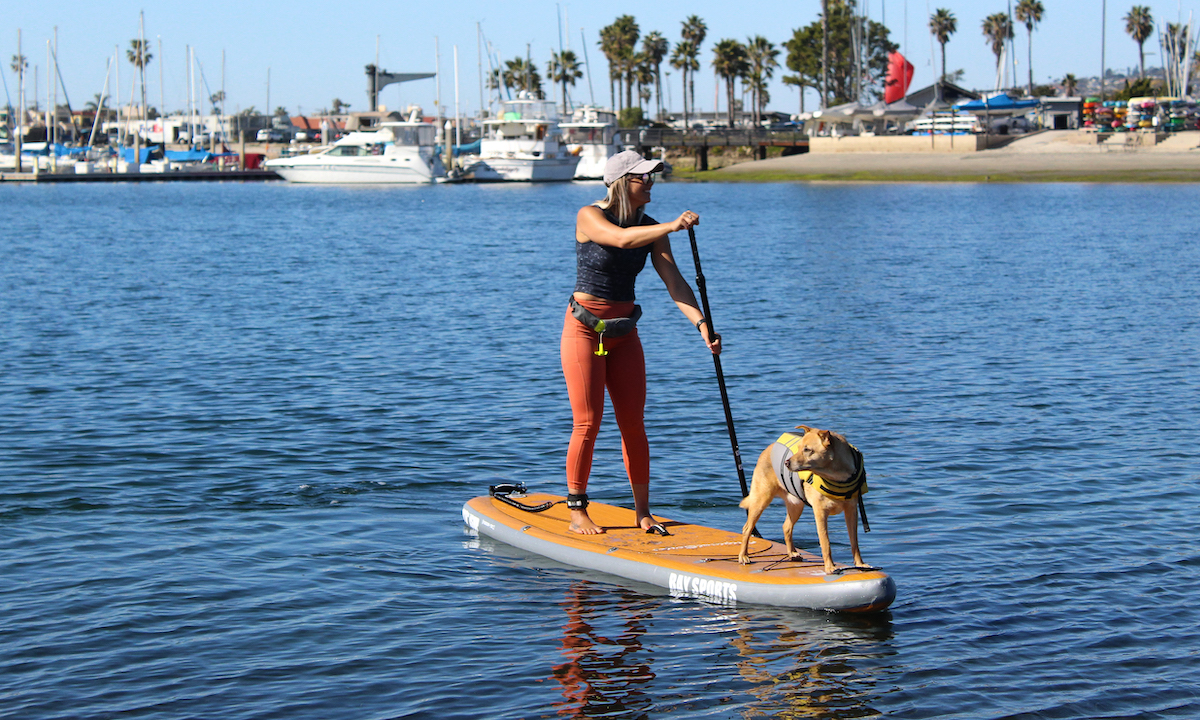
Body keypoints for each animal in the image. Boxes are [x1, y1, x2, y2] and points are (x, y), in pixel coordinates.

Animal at [734, 427, 868, 573]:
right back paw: (743, 556)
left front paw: (860, 564)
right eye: (798, 448)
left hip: (796, 506)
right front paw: (830, 567)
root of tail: (768, 449)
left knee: (786, 527)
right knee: (747, 528)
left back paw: (792, 553)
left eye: (807, 449)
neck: (837, 476)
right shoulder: (820, 512)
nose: (786, 462)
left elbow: (854, 542)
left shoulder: (851, 511)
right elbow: (825, 542)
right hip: (761, 499)